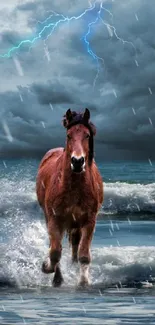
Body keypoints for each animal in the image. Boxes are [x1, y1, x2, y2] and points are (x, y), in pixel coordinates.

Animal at [36, 108, 103, 286]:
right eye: (69, 135)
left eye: (87, 135)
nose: (77, 161)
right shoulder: (54, 219)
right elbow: (55, 252)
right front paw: (47, 268)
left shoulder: (89, 221)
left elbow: (84, 254)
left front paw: (83, 282)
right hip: (49, 217)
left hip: (76, 224)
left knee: (75, 244)